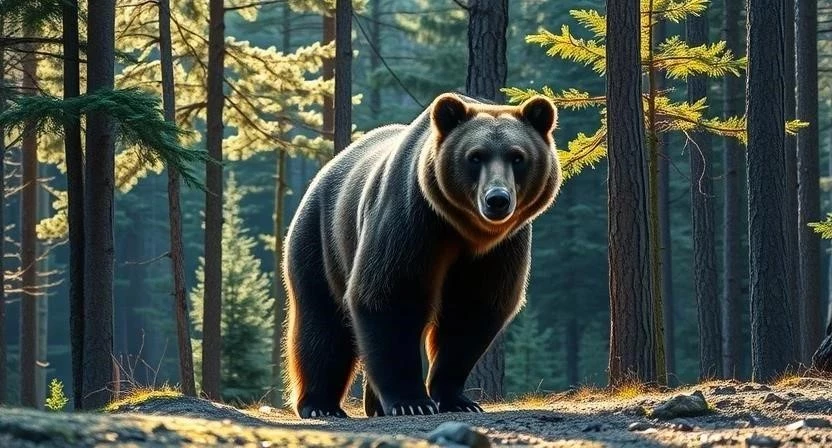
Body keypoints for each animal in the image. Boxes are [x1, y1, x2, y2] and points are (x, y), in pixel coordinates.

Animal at [283, 92, 562, 418]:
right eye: (475, 156)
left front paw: (458, 399)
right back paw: (320, 405)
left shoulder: (499, 250)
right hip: (320, 241)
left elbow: (471, 312)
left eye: (517, 157)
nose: (497, 199)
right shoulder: (413, 221)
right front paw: (411, 401)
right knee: (322, 325)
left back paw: (372, 405)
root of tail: (325, 170)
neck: (465, 231)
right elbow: (390, 295)